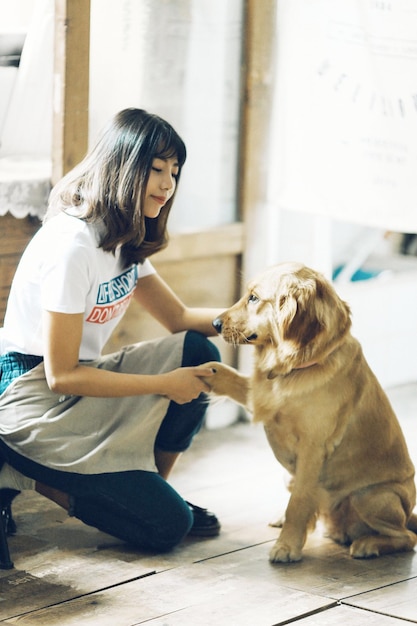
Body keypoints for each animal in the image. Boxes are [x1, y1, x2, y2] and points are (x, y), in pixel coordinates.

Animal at [199, 260, 416, 564]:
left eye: (254, 298)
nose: (214, 324)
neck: (296, 367)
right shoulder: (261, 396)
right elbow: (225, 373)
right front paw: (202, 371)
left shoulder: (313, 448)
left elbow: (299, 502)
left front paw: (286, 547)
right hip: (290, 475)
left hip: (371, 496)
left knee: (407, 537)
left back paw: (368, 544)